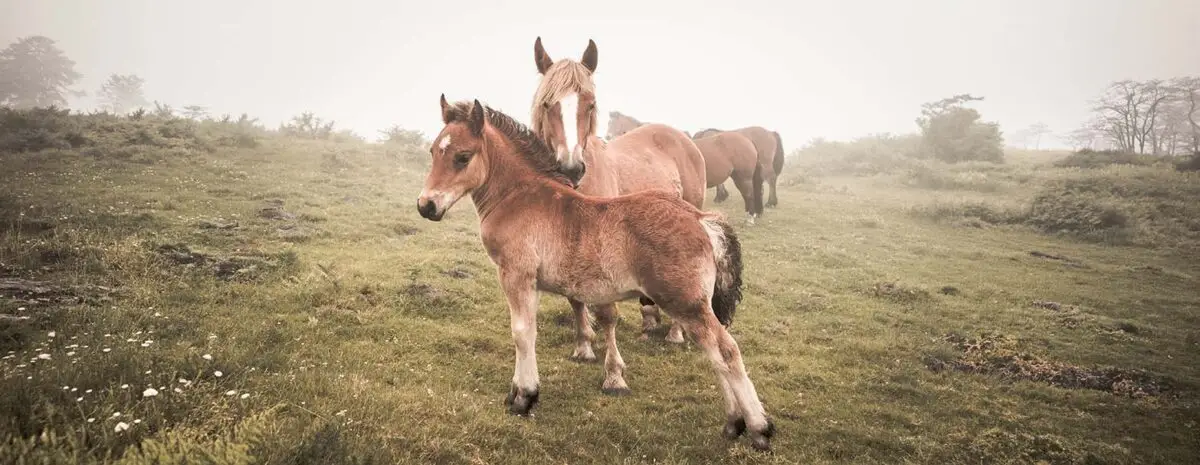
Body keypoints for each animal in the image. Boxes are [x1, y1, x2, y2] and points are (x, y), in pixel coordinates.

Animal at [529, 37, 708, 353]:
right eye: (547, 103)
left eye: (591, 105)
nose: (571, 169)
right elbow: (575, 298)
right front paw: (584, 345)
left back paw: (675, 332)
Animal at [607, 111, 764, 224]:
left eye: (615, 123)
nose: (607, 136)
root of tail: (748, 141)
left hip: (743, 177)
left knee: (749, 195)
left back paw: (750, 218)